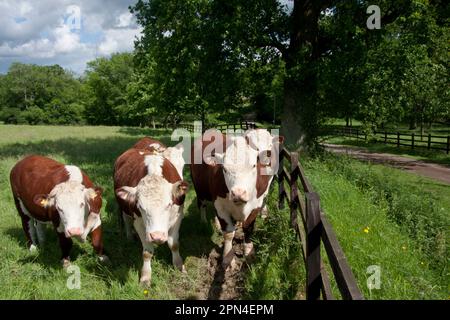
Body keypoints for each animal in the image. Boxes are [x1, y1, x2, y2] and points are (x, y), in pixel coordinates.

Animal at [115, 138, 189, 284]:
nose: (157, 236)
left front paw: (179, 265)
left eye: (168, 205)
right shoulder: (139, 223)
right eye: (140, 207)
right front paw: (145, 276)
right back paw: (129, 237)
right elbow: (147, 252)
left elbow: (174, 244)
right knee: (126, 220)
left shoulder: (178, 217)